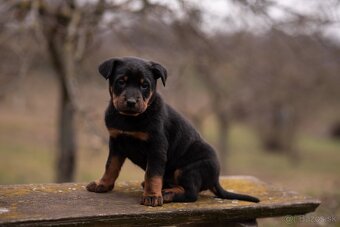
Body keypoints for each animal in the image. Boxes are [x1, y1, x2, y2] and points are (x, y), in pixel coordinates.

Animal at [86, 56, 258, 206]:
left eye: (144, 85)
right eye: (121, 81)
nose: (131, 102)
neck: (129, 119)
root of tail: (215, 179)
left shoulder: (157, 147)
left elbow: (153, 174)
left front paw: (152, 196)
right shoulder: (116, 142)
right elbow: (111, 166)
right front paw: (103, 184)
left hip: (189, 169)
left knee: (191, 193)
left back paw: (168, 194)